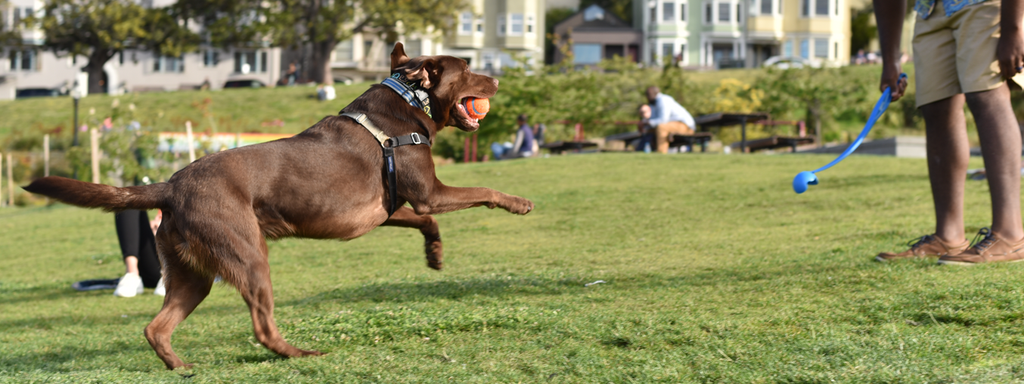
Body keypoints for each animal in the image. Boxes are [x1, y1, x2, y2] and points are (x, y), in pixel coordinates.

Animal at [24, 42, 536, 370]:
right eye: (467, 67)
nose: (498, 78)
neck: (409, 103)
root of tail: (170, 185)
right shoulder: (430, 190)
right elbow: (482, 190)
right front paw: (520, 202)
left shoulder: (391, 210)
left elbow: (426, 221)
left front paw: (435, 255)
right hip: (248, 255)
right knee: (261, 326)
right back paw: (302, 355)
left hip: (192, 274)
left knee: (157, 327)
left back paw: (180, 366)